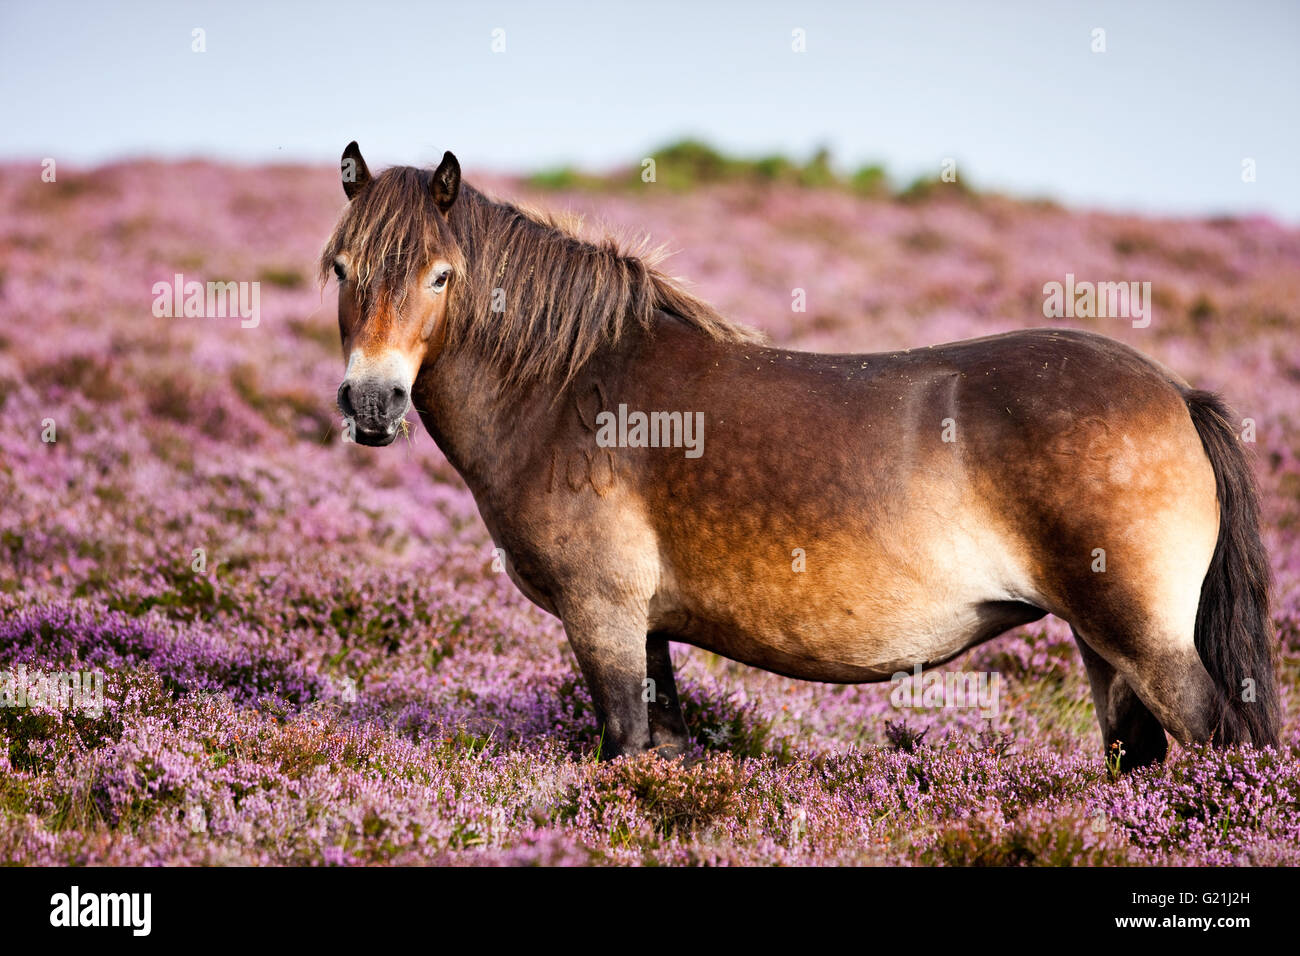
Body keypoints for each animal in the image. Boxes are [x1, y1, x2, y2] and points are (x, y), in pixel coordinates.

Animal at [321, 142, 1279, 769]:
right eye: (341, 268)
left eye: (441, 275)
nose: (372, 403)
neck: (568, 388)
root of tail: (1176, 395)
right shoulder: (650, 629)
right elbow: (666, 753)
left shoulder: (604, 618)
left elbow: (623, 747)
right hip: (1101, 643)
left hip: (1143, 638)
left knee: (1217, 742)